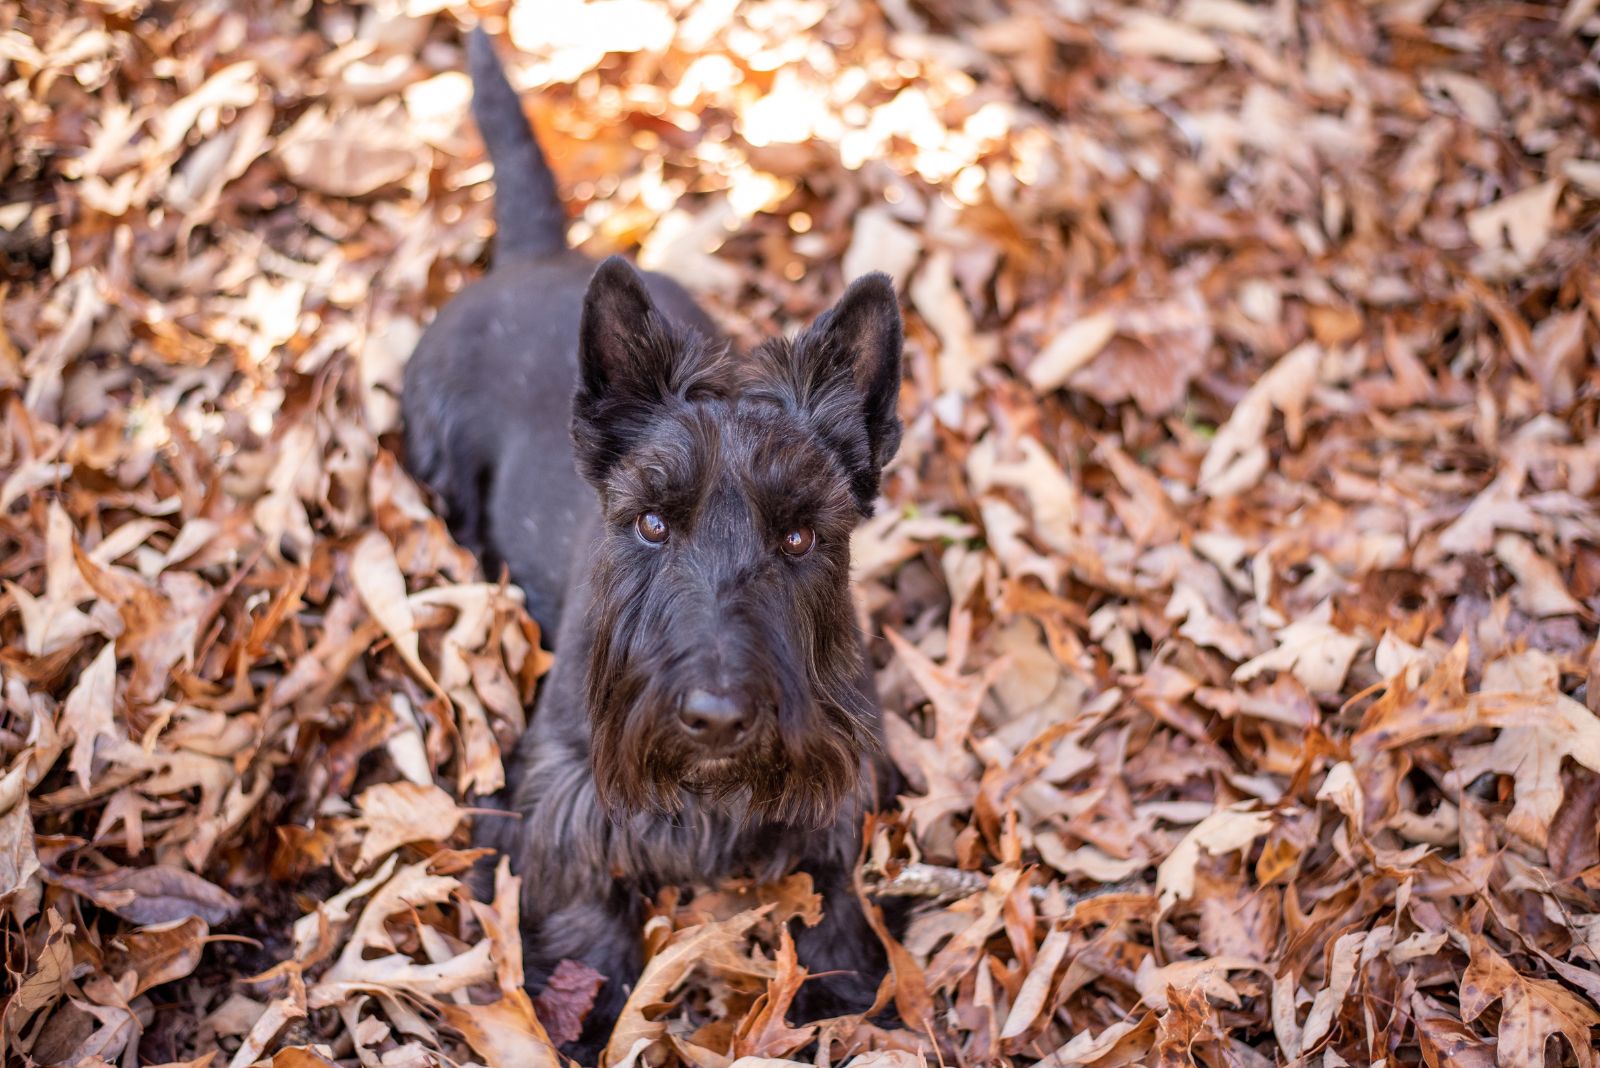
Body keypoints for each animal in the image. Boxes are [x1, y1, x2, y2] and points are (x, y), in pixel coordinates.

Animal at [400, 29, 902, 1055]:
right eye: (653, 522)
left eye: (802, 535)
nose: (715, 718)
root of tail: (540, 256)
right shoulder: (564, 800)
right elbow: (586, 912)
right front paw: (585, 1007)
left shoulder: (840, 792)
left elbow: (833, 898)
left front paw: (847, 986)